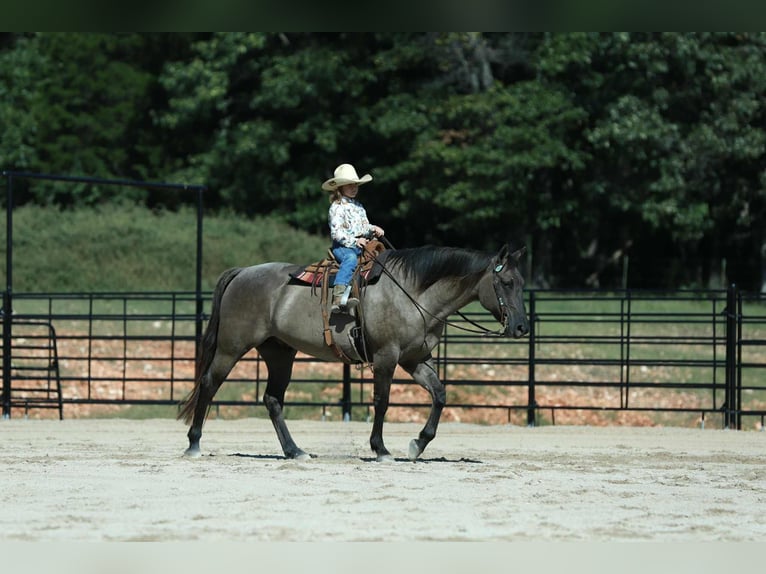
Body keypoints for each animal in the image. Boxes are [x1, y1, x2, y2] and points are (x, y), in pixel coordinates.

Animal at [178, 244, 530, 462]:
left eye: (522, 282)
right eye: (506, 282)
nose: (522, 327)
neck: (414, 294)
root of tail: (242, 272)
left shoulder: (415, 359)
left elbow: (440, 395)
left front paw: (417, 444)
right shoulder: (387, 357)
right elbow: (382, 401)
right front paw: (381, 449)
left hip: (280, 353)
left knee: (273, 399)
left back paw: (295, 451)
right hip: (231, 347)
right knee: (209, 384)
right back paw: (194, 444)